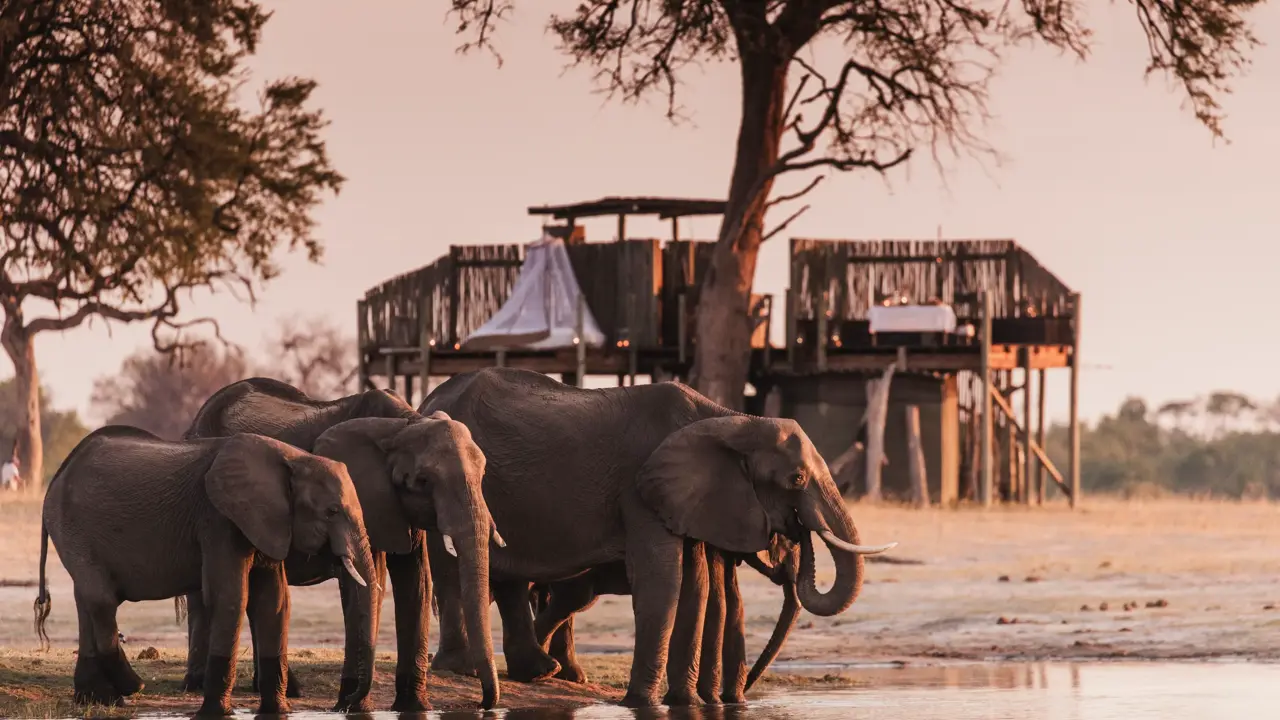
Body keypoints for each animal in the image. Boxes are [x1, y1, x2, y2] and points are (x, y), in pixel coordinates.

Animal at [34, 426, 376, 716]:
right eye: (331, 511)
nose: (343, 706)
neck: (292, 457)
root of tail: (56, 478)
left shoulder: (268, 523)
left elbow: (274, 602)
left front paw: (278, 711)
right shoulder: (218, 519)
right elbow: (230, 596)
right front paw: (217, 713)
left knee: (85, 601)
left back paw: (98, 699)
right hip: (75, 530)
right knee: (101, 599)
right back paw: (131, 687)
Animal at [177, 378, 499, 710]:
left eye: (482, 474)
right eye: (422, 481)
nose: (482, 704)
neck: (404, 423)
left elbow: (417, 583)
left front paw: (414, 707)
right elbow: (367, 581)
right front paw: (353, 705)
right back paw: (196, 684)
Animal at [421, 367, 895, 707]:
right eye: (795, 478)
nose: (799, 531)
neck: (731, 419)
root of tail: (428, 399)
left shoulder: (689, 495)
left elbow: (697, 585)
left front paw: (684, 703)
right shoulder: (640, 487)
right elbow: (663, 579)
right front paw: (641, 703)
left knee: (513, 577)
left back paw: (537, 671)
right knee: (456, 570)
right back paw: (467, 669)